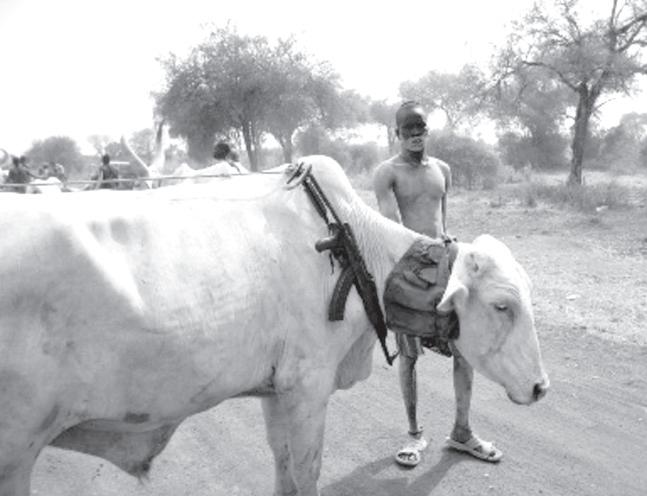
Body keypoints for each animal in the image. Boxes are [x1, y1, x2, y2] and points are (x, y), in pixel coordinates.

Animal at [0, 155, 548, 496]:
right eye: (502, 306)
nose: (541, 388)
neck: (354, 245)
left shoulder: (275, 389)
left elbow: (283, 469)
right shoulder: (307, 388)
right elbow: (305, 473)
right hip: (16, 452)